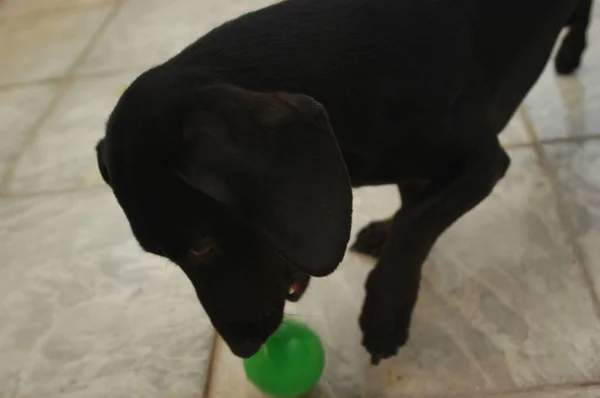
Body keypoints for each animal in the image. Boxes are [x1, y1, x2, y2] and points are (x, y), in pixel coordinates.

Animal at [96, 0, 592, 364]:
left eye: (202, 246)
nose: (242, 348)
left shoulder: (484, 162)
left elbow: (418, 222)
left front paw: (386, 311)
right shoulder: (414, 172)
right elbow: (412, 209)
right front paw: (384, 234)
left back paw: (571, 53)